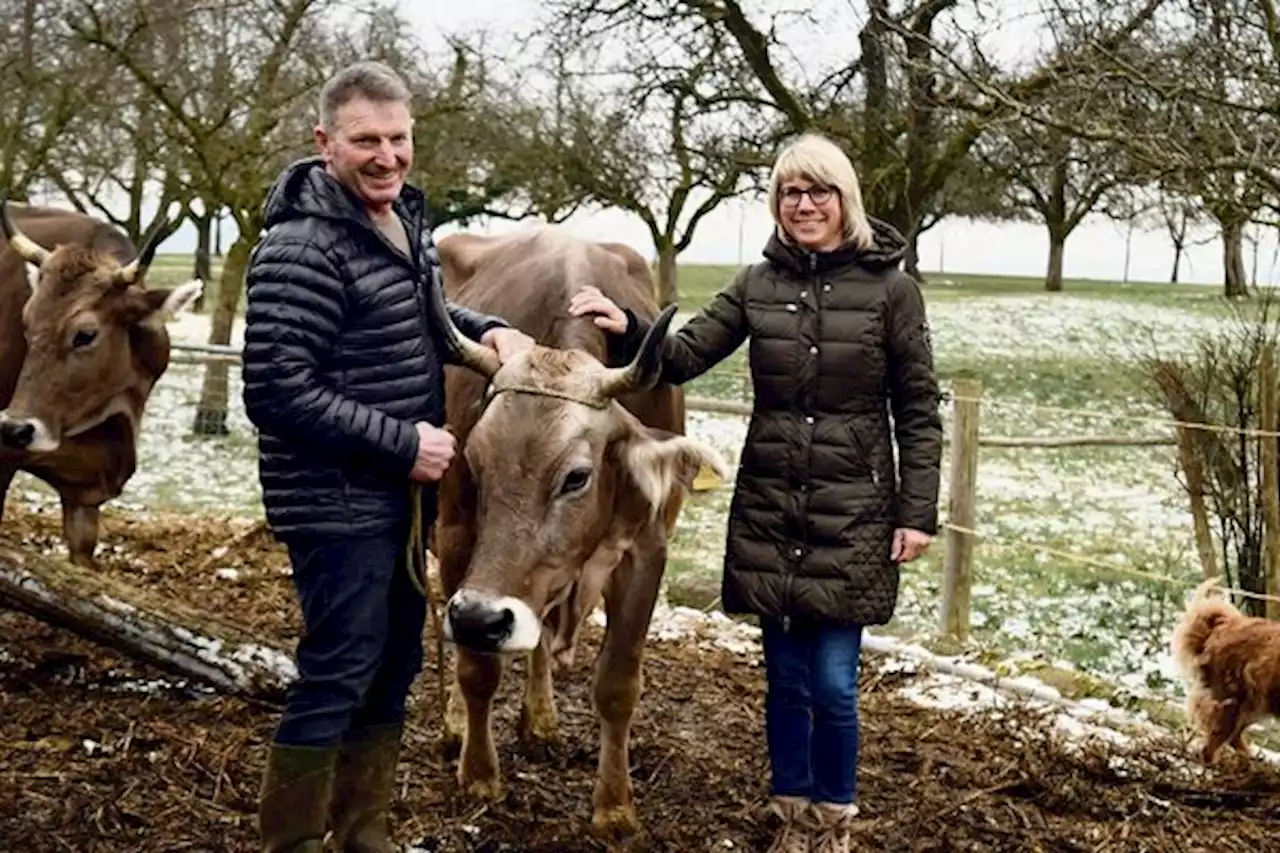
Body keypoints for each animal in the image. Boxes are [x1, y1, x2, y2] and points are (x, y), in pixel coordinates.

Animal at [432, 227, 727, 835]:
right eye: (474, 460)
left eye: (576, 477)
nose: (480, 616)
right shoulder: (456, 536)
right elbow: (476, 667)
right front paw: (479, 774)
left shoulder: (645, 549)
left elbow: (617, 683)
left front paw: (614, 807)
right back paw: (458, 725)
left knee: (540, 633)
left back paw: (541, 720)